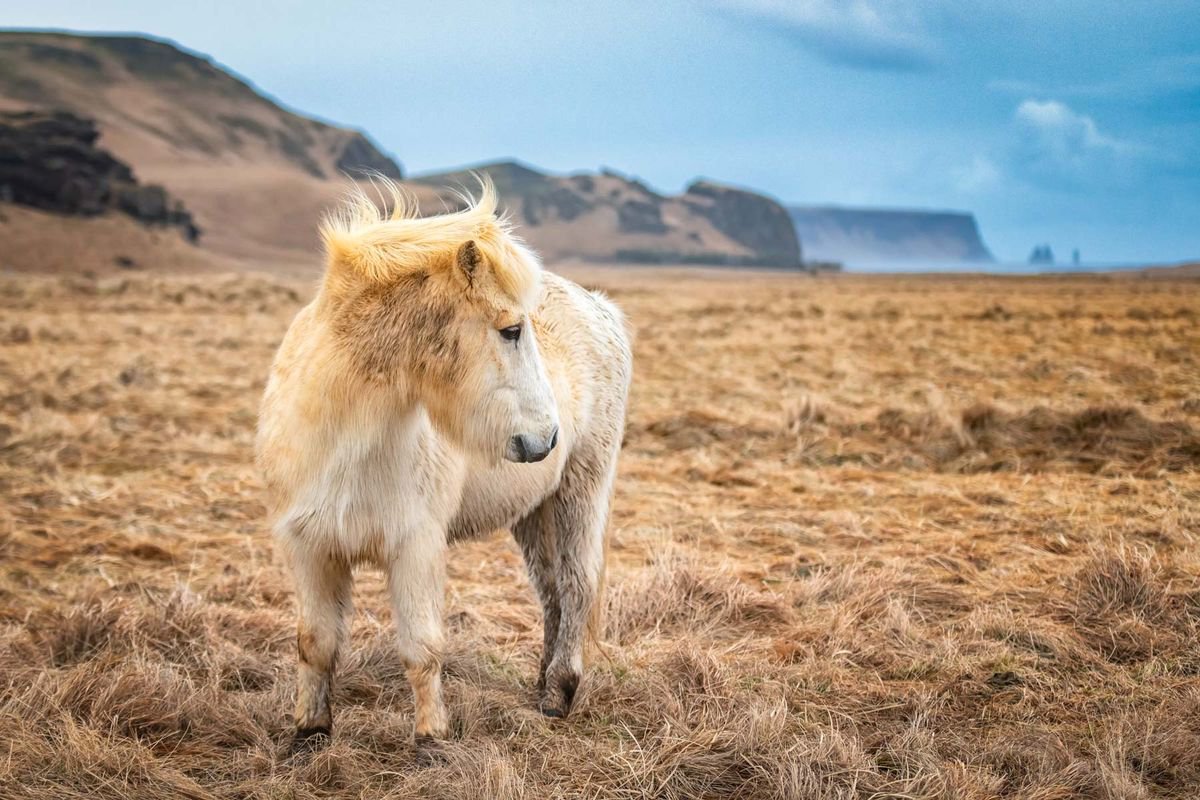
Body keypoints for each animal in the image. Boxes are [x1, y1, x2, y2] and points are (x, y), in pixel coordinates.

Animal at [256, 176, 633, 758]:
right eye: (511, 330)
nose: (547, 438)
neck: (348, 437)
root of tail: (599, 308)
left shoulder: (415, 546)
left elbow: (421, 647)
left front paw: (431, 739)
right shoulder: (310, 547)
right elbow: (315, 643)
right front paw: (309, 733)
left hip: (581, 489)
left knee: (577, 584)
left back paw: (559, 695)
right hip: (533, 509)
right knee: (550, 591)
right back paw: (541, 684)